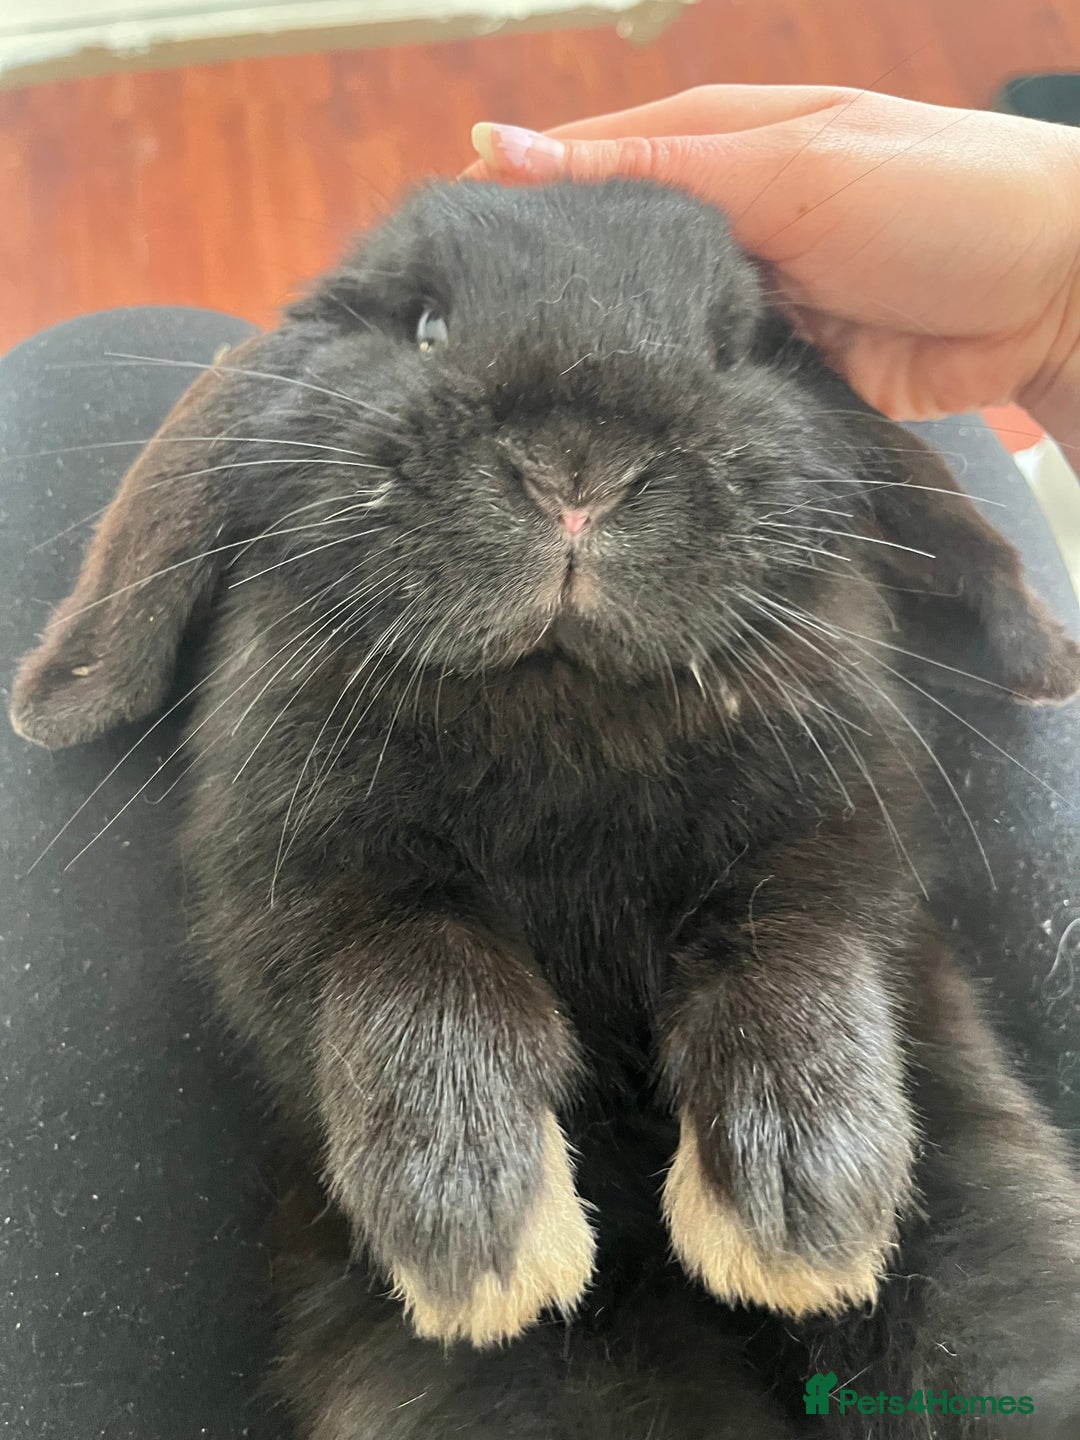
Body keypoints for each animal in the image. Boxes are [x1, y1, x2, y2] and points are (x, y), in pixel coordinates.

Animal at [10, 178, 1080, 1438]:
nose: (580, 473)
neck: (558, 696)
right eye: (424, 326)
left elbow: (794, 949)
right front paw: (480, 1231)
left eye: (737, 347)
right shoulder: (290, 886)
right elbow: (416, 970)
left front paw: (802, 1216)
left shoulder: (846, 847)